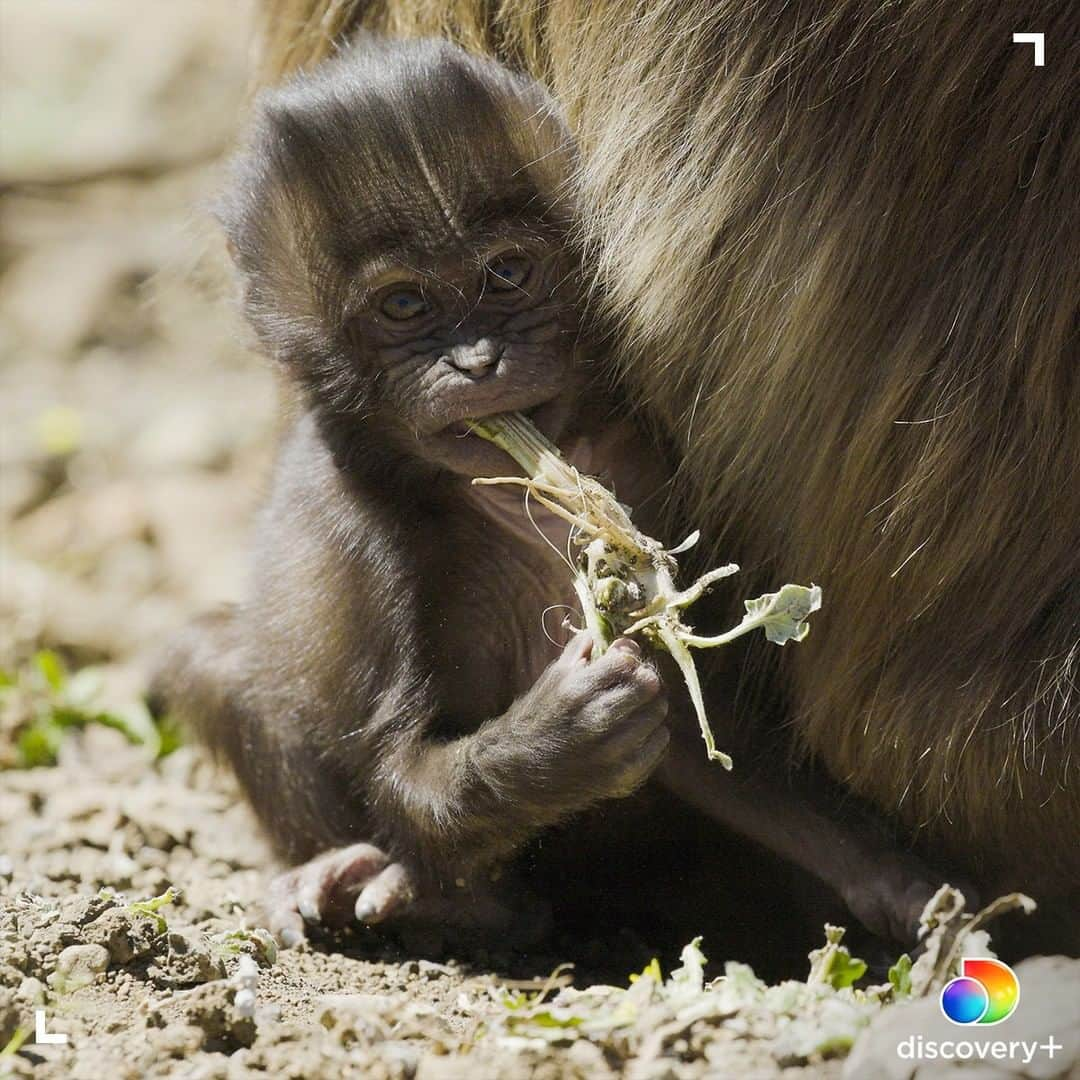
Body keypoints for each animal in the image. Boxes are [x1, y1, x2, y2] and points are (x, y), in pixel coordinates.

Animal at [247, 2, 1080, 954]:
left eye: (507, 274)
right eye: (403, 306)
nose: (478, 360)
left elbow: (702, 730)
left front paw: (898, 880)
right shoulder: (369, 528)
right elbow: (396, 766)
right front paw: (555, 745)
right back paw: (432, 896)